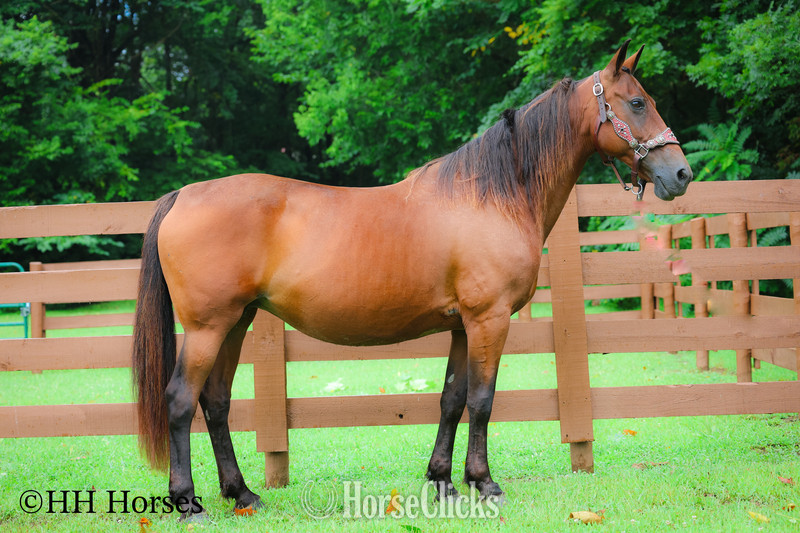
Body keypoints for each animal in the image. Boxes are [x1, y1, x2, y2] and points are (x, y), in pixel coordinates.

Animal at [132, 40, 692, 519]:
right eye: (637, 102)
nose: (681, 174)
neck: (492, 195)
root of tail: (183, 195)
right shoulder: (489, 320)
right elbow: (482, 400)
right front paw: (484, 483)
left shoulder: (464, 326)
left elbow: (451, 400)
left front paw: (443, 481)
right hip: (207, 328)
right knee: (180, 400)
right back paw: (188, 501)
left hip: (236, 323)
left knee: (216, 403)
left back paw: (243, 493)